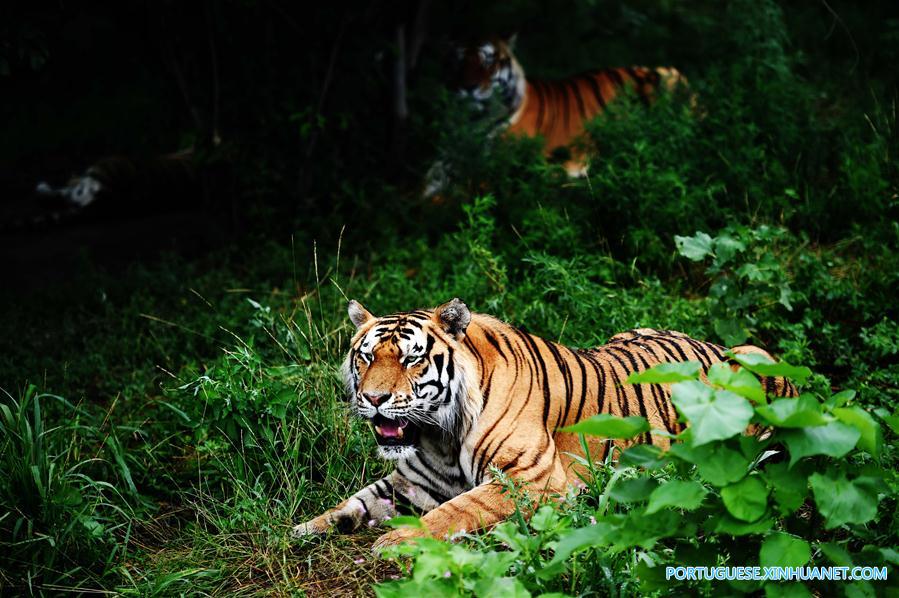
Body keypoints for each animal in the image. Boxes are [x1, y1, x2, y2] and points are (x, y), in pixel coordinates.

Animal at [294, 298, 796, 552]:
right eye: (365, 357)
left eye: (411, 358)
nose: (373, 399)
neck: (439, 434)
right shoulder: (413, 482)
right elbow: (357, 501)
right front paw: (308, 528)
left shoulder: (530, 479)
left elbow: (454, 511)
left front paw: (397, 540)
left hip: (756, 363)